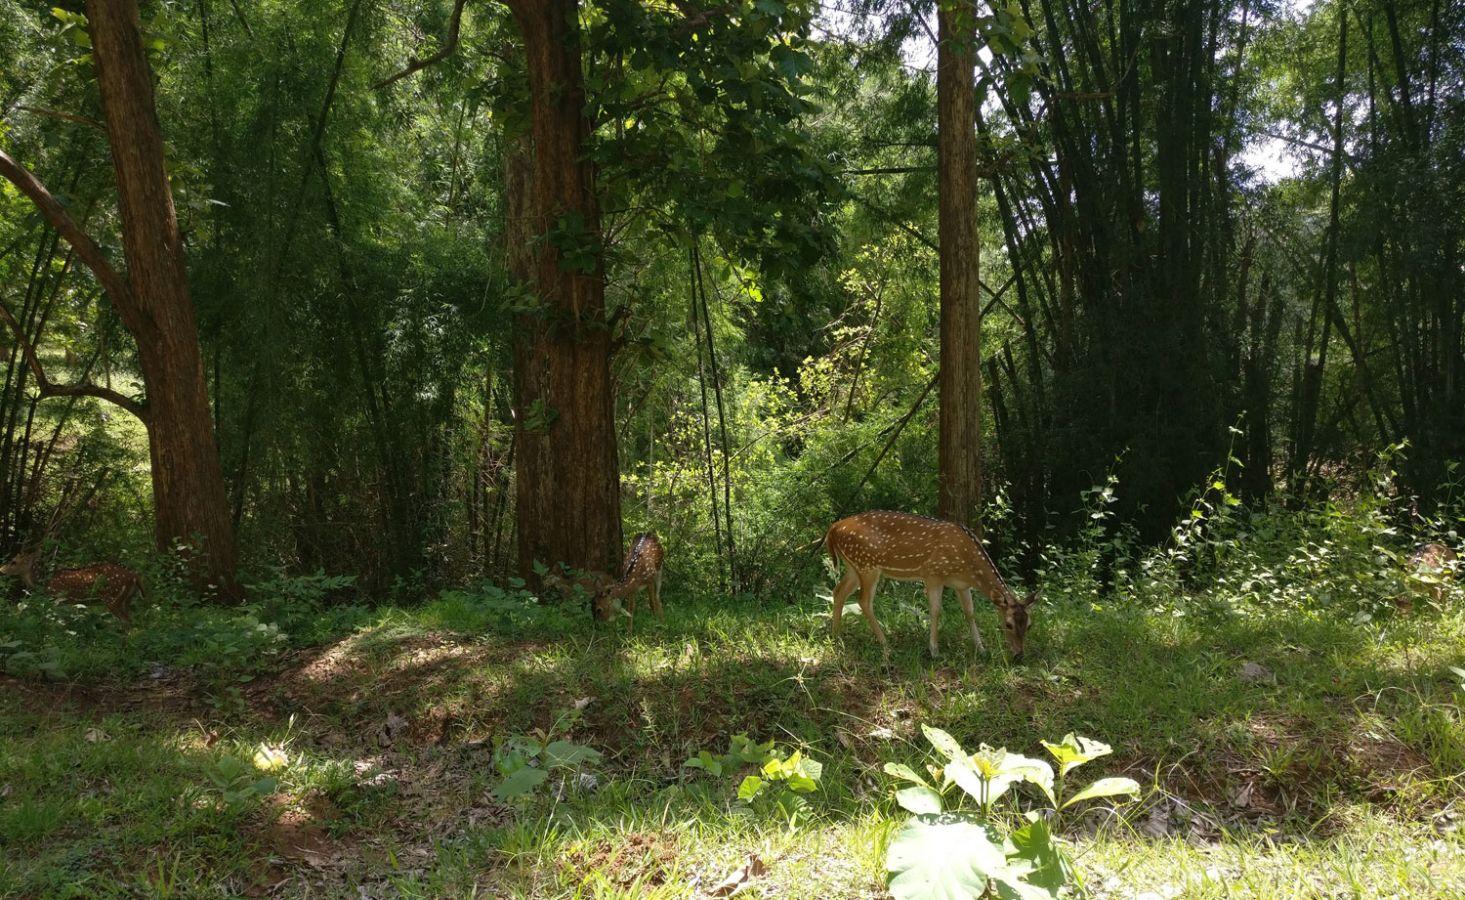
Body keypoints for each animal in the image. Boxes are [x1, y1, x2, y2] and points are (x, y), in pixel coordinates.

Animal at [0, 545, 142, 624]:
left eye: (14, 561)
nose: (1, 569)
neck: (44, 582)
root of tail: (134, 576)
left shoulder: (58, 598)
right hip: (127, 599)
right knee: (131, 621)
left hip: (112, 598)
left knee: (126, 621)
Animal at [826, 515, 1043, 662]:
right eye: (1008, 624)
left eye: (1029, 625)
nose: (1019, 655)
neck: (966, 564)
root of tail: (833, 528)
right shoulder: (933, 575)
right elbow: (936, 610)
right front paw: (934, 651)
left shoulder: (961, 585)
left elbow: (970, 612)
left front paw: (981, 649)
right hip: (867, 565)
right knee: (864, 601)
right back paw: (886, 645)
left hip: (854, 566)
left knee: (838, 591)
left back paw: (836, 636)